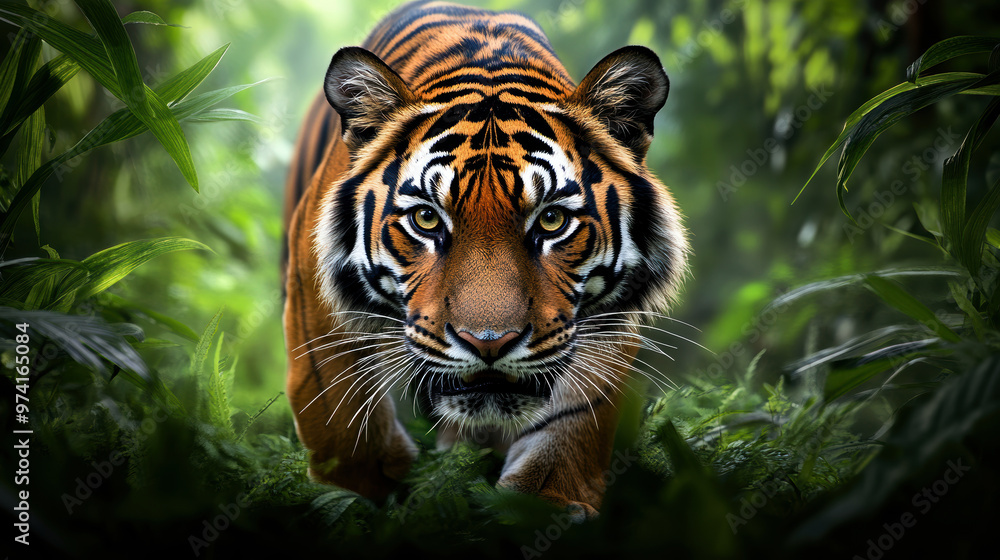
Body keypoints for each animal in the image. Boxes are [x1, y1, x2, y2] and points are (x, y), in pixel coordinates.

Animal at [282, 0, 688, 517]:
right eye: (427, 219)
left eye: (552, 220)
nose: (490, 343)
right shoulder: (314, 296)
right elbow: (339, 415)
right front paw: (359, 500)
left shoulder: (604, 317)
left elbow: (574, 419)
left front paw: (548, 503)